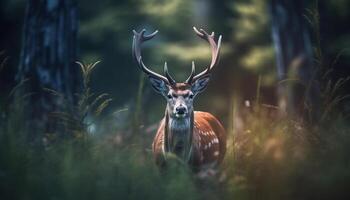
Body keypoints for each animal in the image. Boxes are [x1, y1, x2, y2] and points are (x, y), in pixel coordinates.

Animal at [132, 27, 227, 173]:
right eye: (169, 95)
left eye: (191, 95)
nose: (181, 108)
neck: (178, 159)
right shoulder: (159, 168)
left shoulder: (197, 169)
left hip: (218, 163)